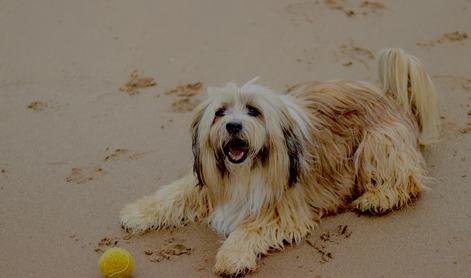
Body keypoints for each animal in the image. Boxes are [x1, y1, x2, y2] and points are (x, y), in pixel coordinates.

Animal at [120, 47, 440, 276]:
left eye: (253, 111)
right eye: (220, 112)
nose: (233, 126)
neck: (245, 171)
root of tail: (390, 94)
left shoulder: (282, 207)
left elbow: (249, 228)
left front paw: (232, 256)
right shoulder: (207, 183)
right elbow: (172, 194)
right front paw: (137, 212)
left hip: (377, 143)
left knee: (407, 179)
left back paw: (378, 198)